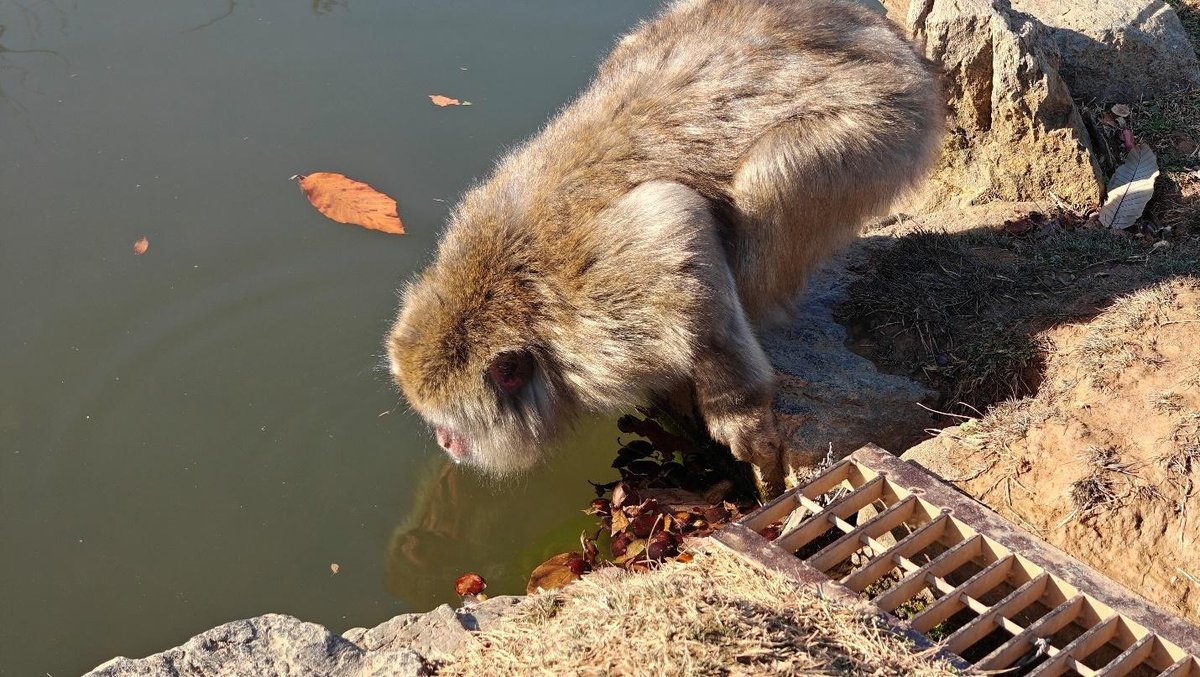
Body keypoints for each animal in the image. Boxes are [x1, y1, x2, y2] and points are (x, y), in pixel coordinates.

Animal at [385, 0, 941, 497]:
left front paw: (736, 410)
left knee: (770, 180)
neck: (508, 294)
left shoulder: (595, 307)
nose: (445, 442)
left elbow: (673, 222)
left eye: (449, 424)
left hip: (885, 123)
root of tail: (889, 40)